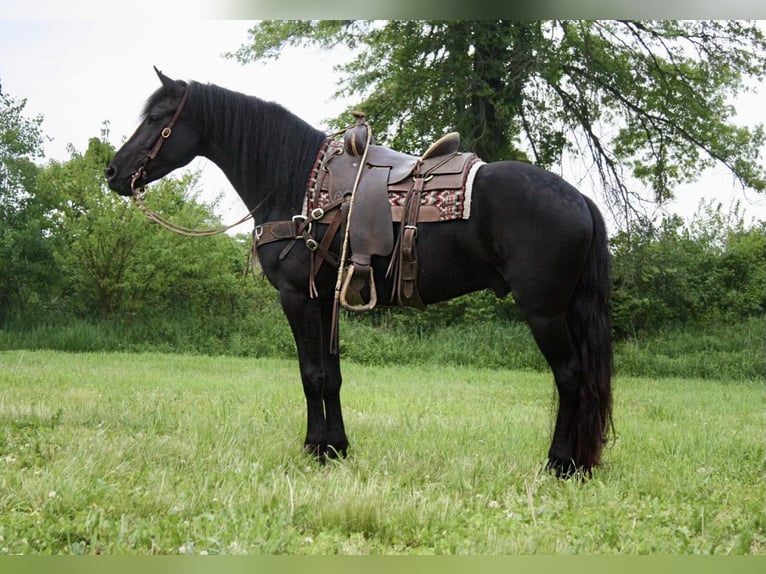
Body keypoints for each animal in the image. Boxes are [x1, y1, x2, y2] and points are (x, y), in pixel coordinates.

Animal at [105, 68, 613, 477]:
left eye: (156, 118)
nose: (112, 172)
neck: (299, 183)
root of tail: (579, 199)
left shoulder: (296, 296)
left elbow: (310, 374)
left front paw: (314, 449)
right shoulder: (323, 300)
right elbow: (331, 376)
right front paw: (337, 447)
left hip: (544, 311)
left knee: (570, 376)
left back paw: (560, 464)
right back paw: (578, 463)